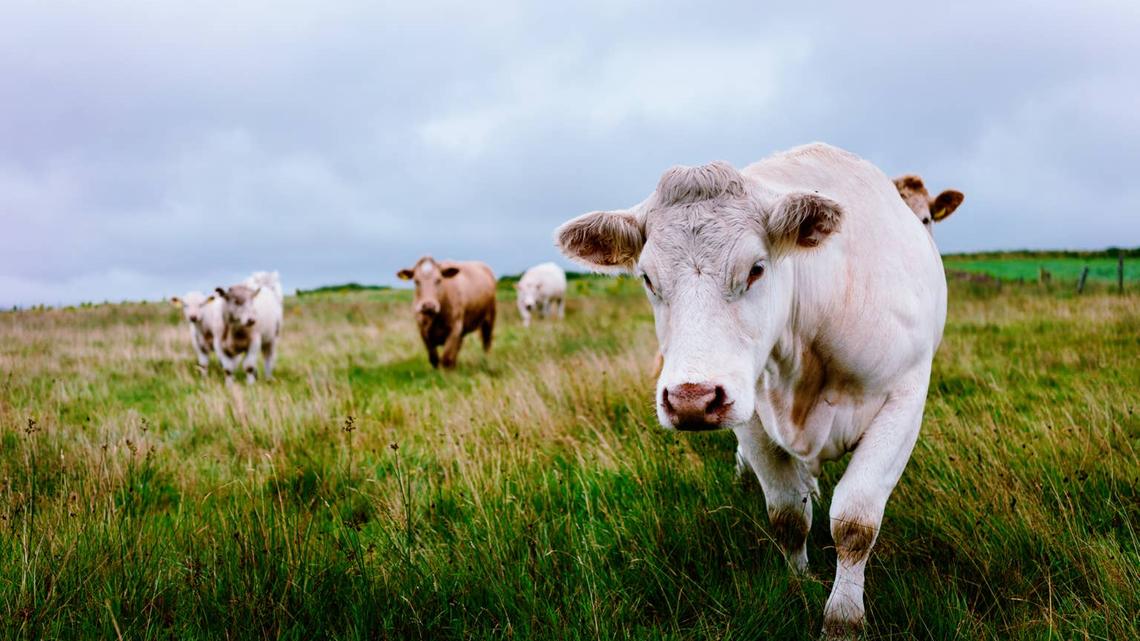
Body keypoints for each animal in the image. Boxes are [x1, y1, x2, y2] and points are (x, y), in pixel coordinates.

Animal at [555, 143, 947, 638]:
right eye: (647, 278)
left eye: (756, 268)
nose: (690, 399)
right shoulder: (752, 416)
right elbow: (788, 515)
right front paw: (797, 583)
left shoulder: (904, 399)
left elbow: (855, 523)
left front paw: (842, 618)